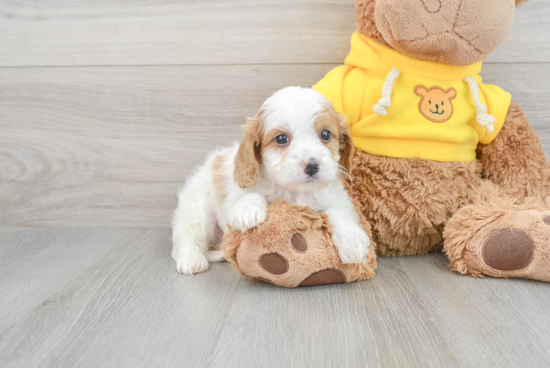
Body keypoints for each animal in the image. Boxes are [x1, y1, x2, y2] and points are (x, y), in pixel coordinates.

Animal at [172, 86, 370, 274]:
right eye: (281, 139)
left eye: (326, 135)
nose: (312, 165)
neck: (295, 191)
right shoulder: (233, 195)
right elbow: (248, 194)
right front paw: (247, 211)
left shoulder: (337, 197)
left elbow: (339, 211)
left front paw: (352, 240)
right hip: (197, 208)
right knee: (187, 237)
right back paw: (191, 259)